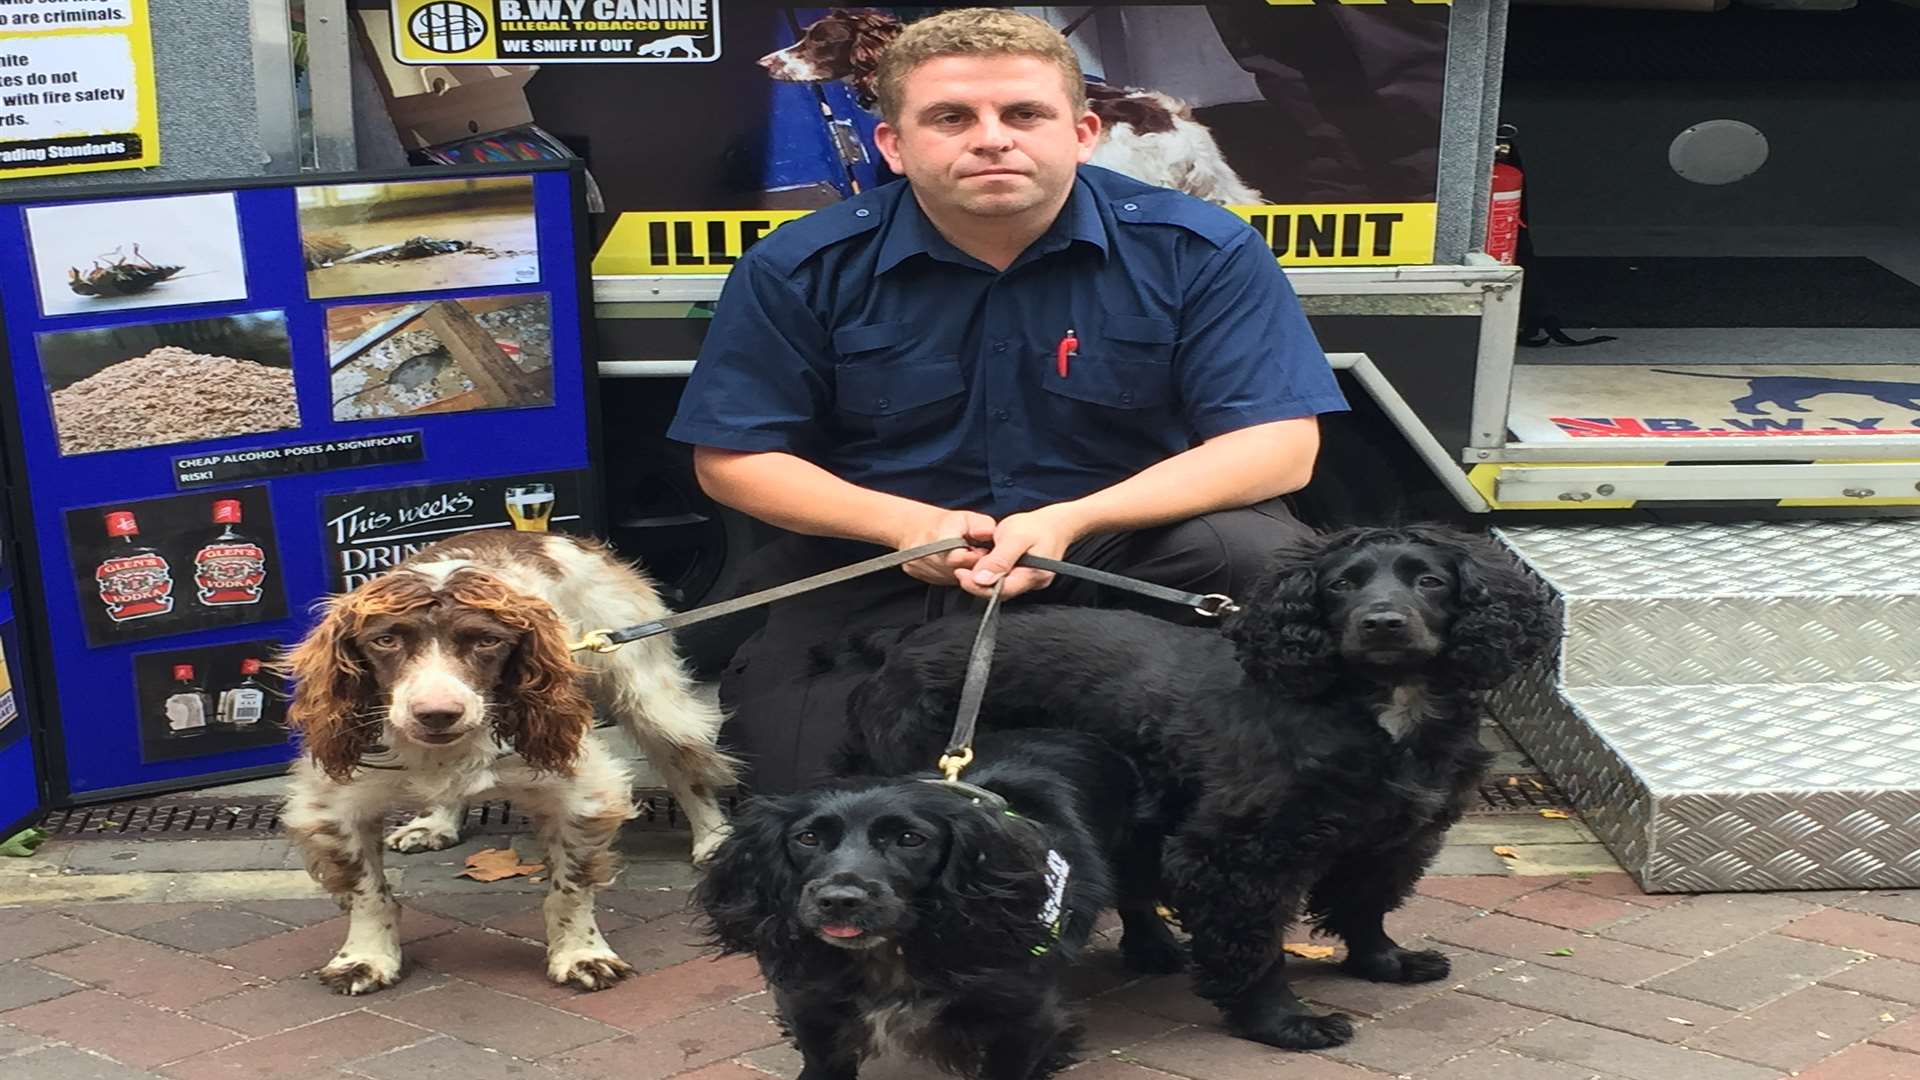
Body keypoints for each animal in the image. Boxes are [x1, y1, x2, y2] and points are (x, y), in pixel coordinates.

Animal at [691, 726, 1167, 1068]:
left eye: (909, 839)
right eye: (807, 838)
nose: (840, 899)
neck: (892, 955)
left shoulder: (1022, 1014)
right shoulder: (813, 1003)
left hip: (1137, 856)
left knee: (1138, 900)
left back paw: (1154, 951)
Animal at [840, 526, 1559, 1045]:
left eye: (1430, 580)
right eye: (1340, 587)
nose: (1382, 622)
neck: (1380, 709)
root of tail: (898, 645)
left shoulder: (1397, 834)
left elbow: (1367, 904)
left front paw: (1383, 963)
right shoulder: (1241, 854)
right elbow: (1259, 946)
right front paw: (1282, 1022)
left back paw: (1153, 947)